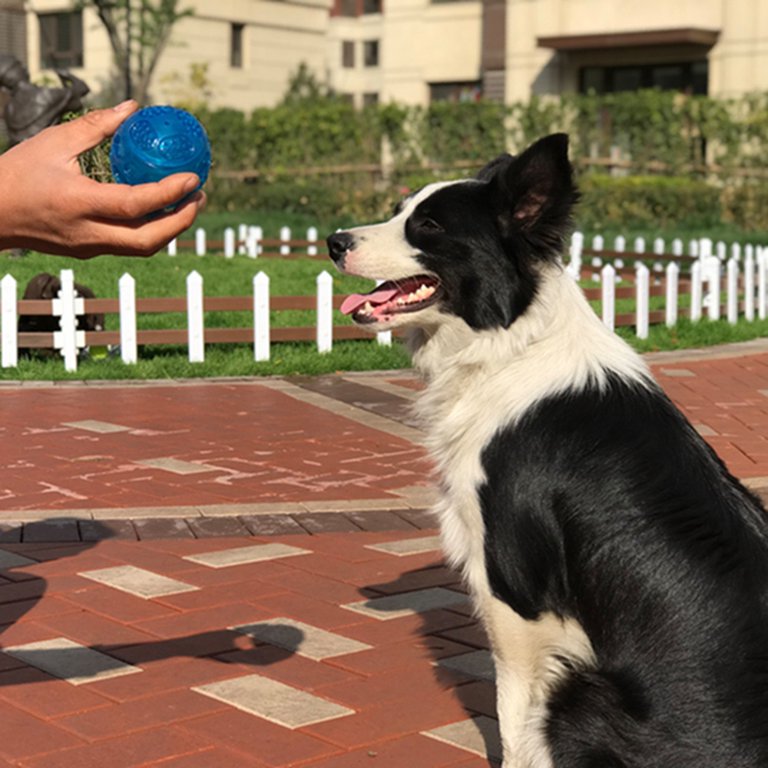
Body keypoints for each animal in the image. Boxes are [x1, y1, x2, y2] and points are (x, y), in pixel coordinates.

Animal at [328, 134, 768, 768]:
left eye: (429, 225)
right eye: (397, 208)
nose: (334, 241)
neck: (510, 343)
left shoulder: (516, 595)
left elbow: (512, 717)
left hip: (579, 695)